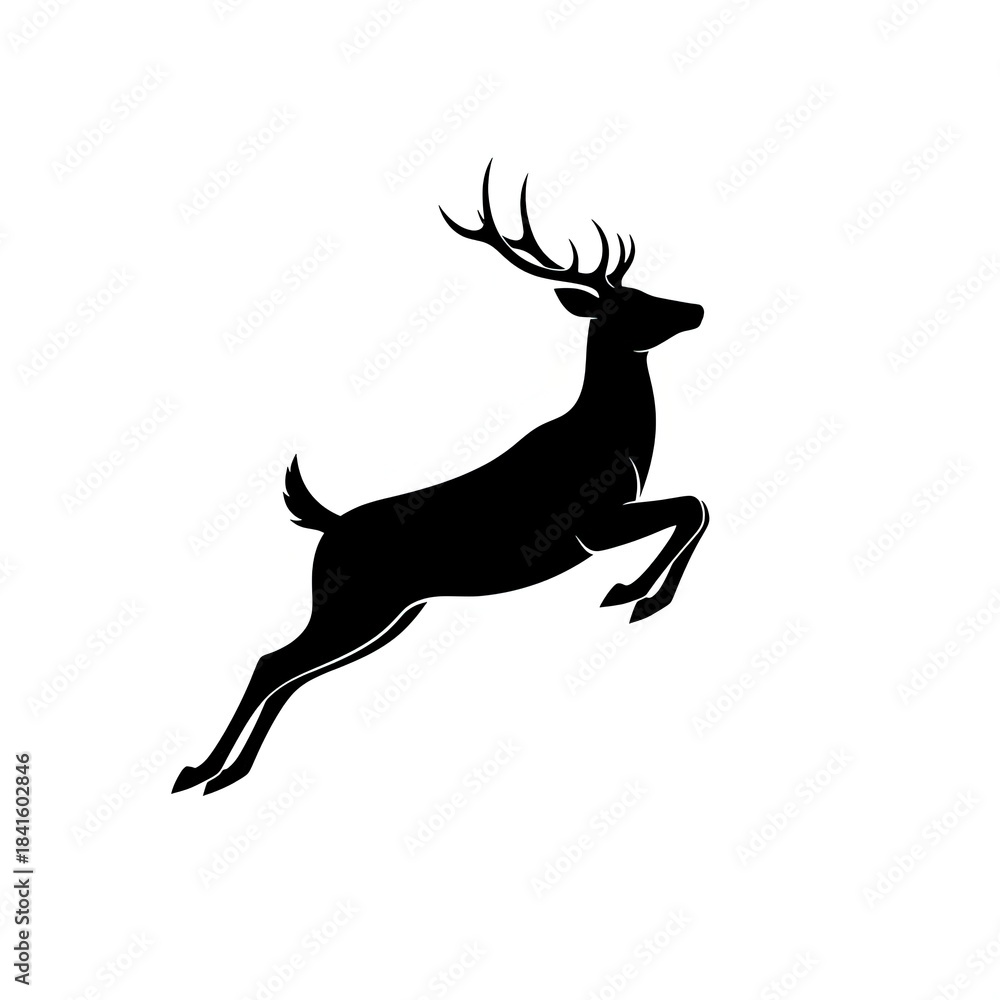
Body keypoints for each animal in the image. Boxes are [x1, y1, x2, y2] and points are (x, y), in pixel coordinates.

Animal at [173, 162, 709, 795]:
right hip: (353, 603)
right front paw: (636, 594)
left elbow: (693, 506)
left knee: (294, 676)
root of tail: (327, 526)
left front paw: (637, 592)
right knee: (272, 662)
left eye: (644, 289)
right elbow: (692, 506)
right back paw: (199, 770)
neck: (615, 440)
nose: (696, 309)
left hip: (392, 613)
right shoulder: (589, 527)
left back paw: (229, 773)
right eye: (629, 303)